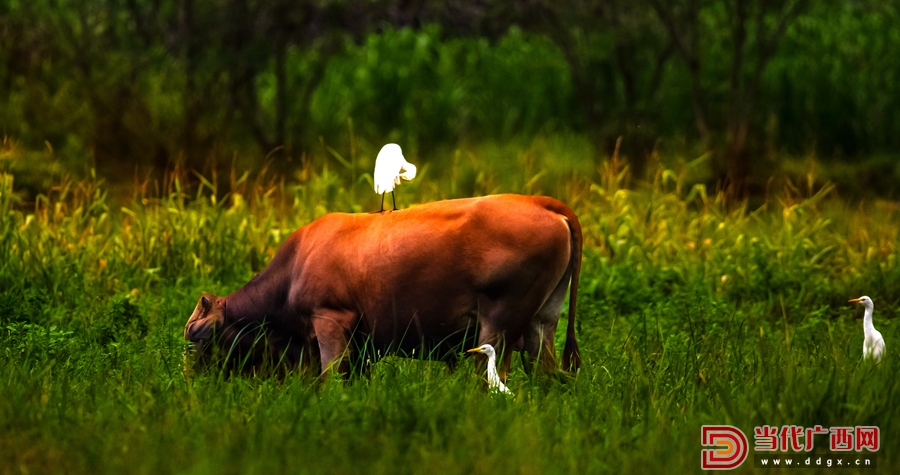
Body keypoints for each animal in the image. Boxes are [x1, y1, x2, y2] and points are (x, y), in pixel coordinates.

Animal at [183, 193, 584, 380]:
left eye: (196, 337)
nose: (191, 383)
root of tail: (541, 201)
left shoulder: (331, 323)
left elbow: (331, 379)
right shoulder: (361, 346)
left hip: (499, 324)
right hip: (541, 323)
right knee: (552, 376)